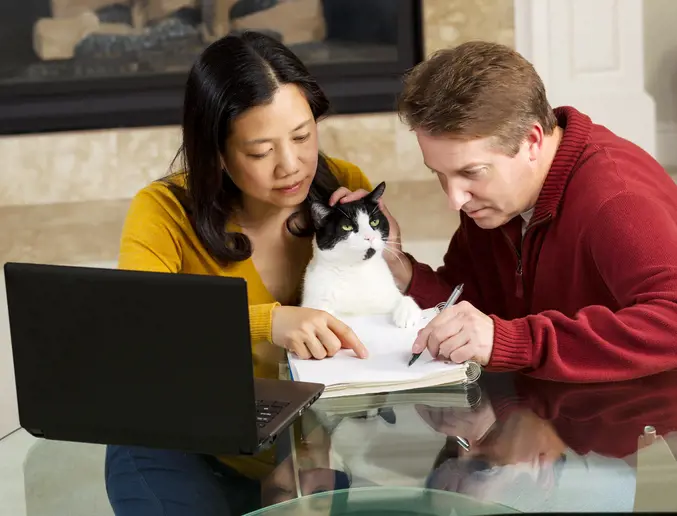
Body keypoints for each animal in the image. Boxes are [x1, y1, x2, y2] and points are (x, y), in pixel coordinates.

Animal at [298, 181, 420, 326]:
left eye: (374, 222)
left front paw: (407, 313)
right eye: (347, 227)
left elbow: (402, 298)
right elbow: (321, 313)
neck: (356, 271)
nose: (370, 237)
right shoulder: (315, 299)